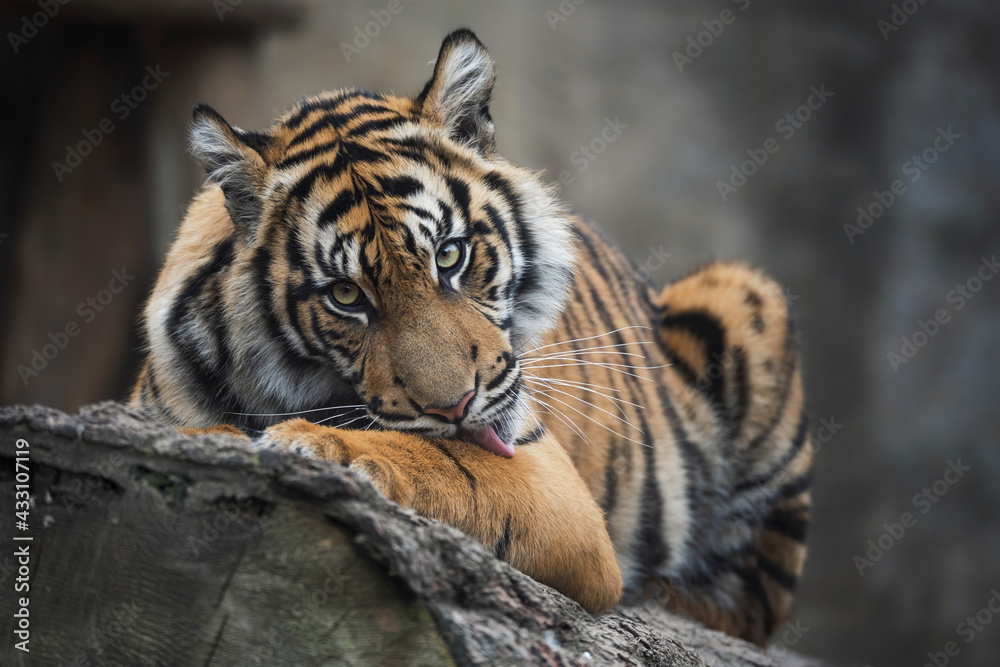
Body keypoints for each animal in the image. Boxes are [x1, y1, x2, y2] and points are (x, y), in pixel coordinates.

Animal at [130, 29, 812, 646]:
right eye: (346, 296)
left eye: (450, 256)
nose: (454, 406)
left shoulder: (549, 481)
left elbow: (449, 462)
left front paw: (315, 444)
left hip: (744, 297)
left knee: (753, 610)